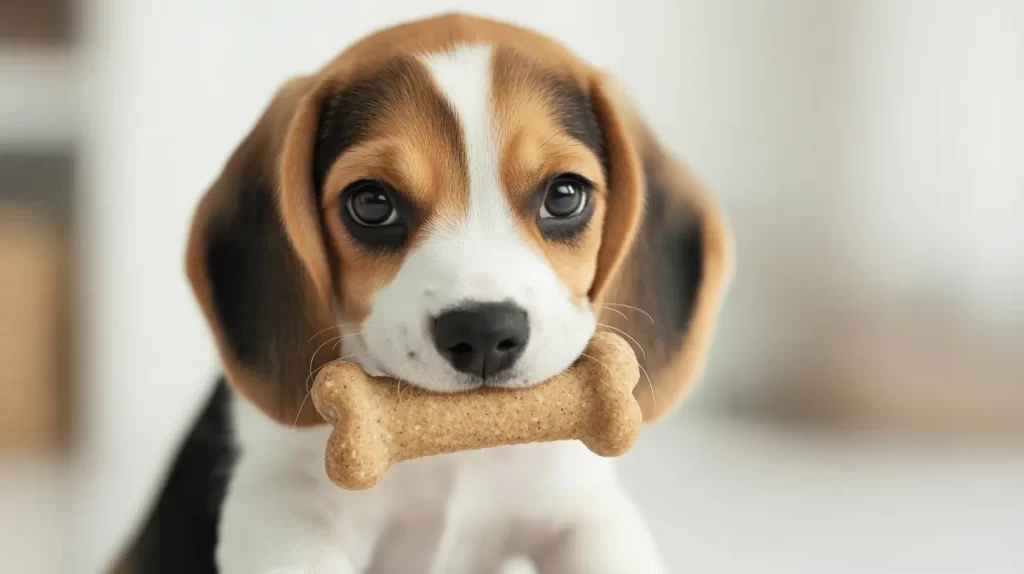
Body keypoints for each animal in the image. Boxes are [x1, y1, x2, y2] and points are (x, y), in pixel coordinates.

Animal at [119, 10, 733, 572]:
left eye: (564, 195)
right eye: (371, 203)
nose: (484, 332)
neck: (455, 452)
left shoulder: (585, 512)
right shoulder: (282, 508)